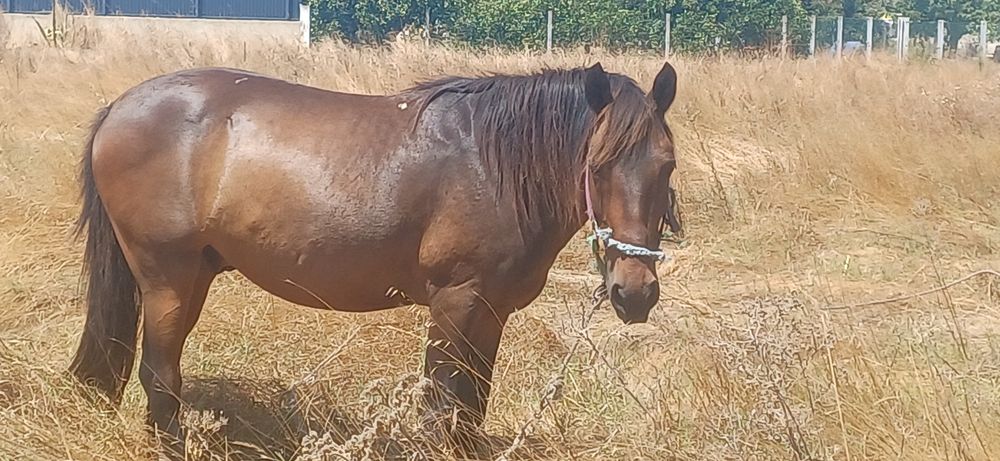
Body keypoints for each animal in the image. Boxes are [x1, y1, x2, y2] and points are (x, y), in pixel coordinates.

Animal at [67, 60, 679, 456]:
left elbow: (472, 404)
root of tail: (119, 107)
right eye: (595, 166)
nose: (635, 292)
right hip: (165, 278)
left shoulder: (491, 312)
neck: (492, 165)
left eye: (667, 165)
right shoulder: (455, 304)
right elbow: (441, 403)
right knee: (159, 372)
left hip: (194, 275)